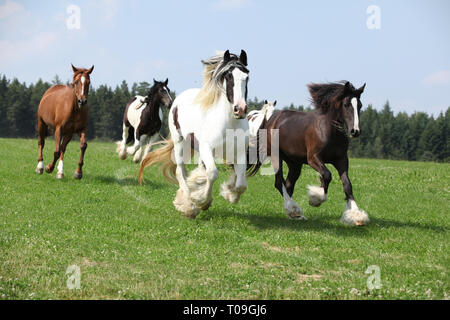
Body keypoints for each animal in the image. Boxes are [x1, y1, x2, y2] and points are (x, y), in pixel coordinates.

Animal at [138, 50, 250, 219]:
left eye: (246, 76)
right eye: (229, 76)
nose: (240, 109)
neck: (229, 121)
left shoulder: (240, 152)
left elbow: (241, 184)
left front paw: (229, 193)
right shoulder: (207, 148)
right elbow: (212, 174)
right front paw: (201, 201)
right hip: (179, 143)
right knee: (181, 172)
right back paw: (188, 205)